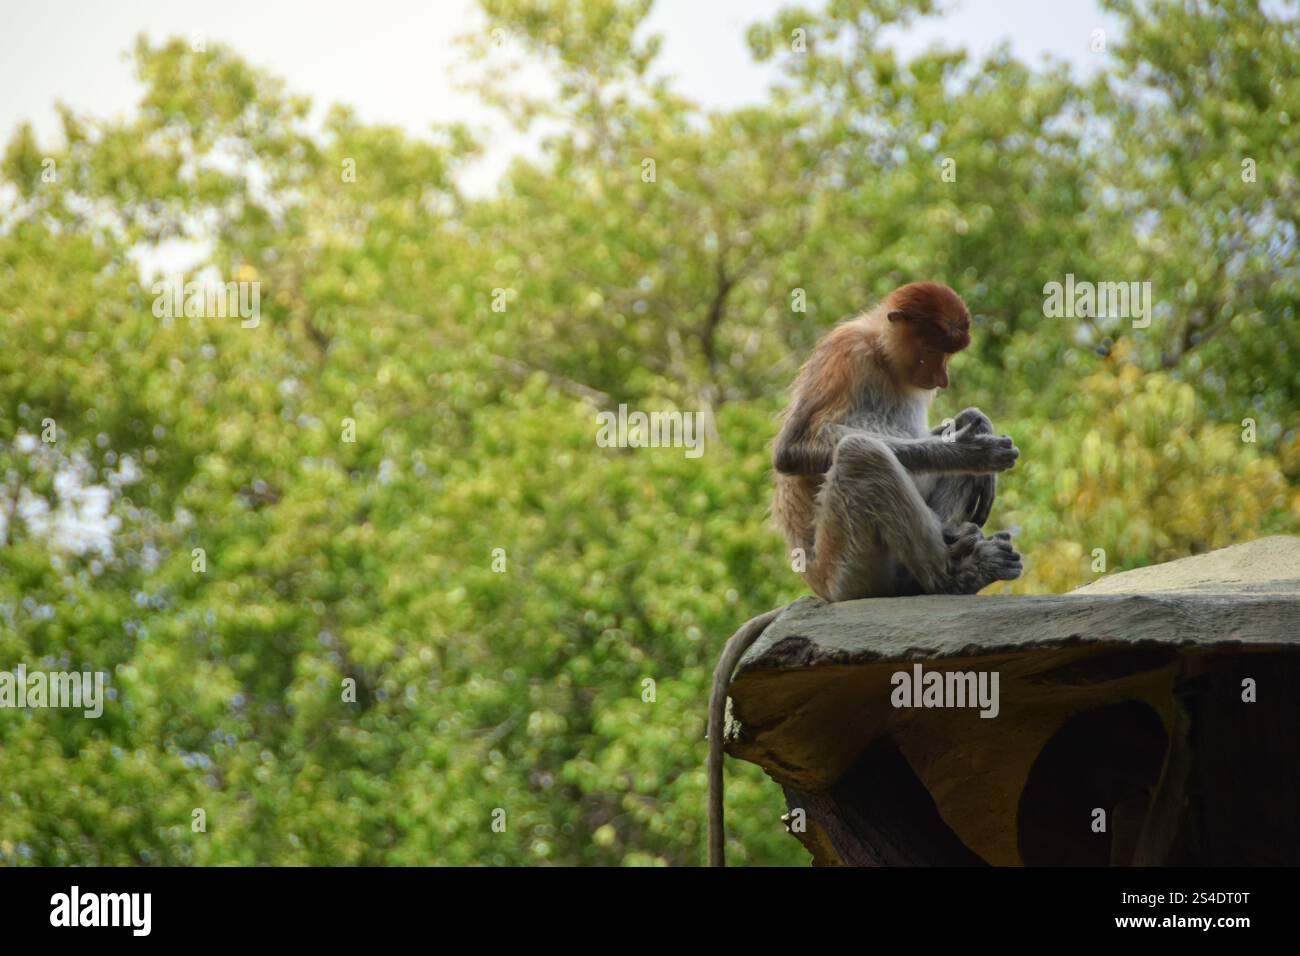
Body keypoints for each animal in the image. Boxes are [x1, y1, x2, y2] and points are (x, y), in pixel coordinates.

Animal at [707, 281, 1022, 866]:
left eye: (950, 354)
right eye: (934, 349)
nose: (942, 380)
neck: (884, 357)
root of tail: (818, 587)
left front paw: (970, 422)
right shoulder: (845, 354)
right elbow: (793, 453)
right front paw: (971, 445)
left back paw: (952, 552)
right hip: (846, 565)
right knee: (860, 454)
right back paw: (952, 577)